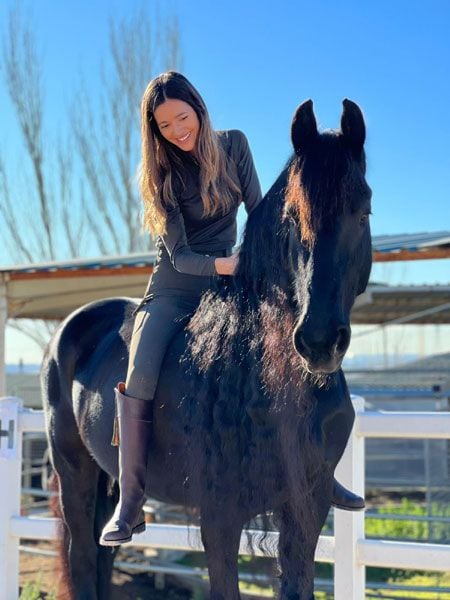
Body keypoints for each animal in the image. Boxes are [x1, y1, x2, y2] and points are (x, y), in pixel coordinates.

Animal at [43, 99, 372, 600]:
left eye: (364, 211)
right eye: (290, 221)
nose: (318, 341)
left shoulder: (307, 507)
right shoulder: (220, 515)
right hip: (73, 469)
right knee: (81, 556)